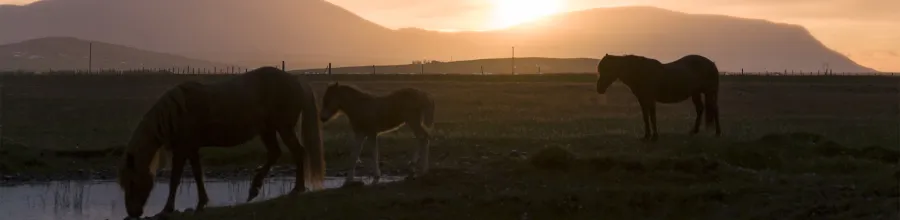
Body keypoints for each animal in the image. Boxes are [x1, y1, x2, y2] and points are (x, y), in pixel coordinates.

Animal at [116, 66, 326, 218]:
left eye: (132, 182)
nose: (133, 213)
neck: (175, 113)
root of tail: (295, 81)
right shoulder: (191, 149)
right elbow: (197, 174)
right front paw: (201, 202)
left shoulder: (182, 150)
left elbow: (175, 179)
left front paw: (167, 209)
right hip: (267, 130)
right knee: (275, 153)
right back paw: (254, 188)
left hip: (283, 128)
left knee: (298, 152)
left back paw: (296, 189)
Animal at [596, 54, 724, 142]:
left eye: (607, 69)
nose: (599, 89)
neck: (641, 72)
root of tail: (712, 64)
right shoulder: (643, 100)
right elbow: (645, 118)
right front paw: (646, 136)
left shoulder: (651, 99)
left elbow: (653, 117)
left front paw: (654, 136)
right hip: (696, 93)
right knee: (700, 109)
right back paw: (694, 131)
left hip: (709, 92)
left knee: (715, 109)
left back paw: (718, 132)